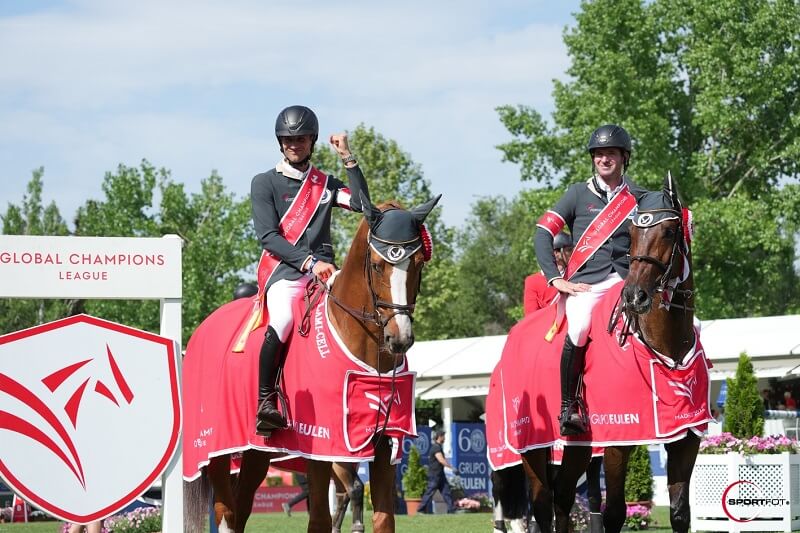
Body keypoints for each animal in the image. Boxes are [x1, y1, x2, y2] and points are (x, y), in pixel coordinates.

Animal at [184, 194, 440, 532]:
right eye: (376, 265)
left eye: (419, 263)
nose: (399, 339)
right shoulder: (319, 446)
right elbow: (319, 518)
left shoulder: (384, 443)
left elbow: (384, 519)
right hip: (217, 449)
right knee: (226, 510)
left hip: (257, 453)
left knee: (241, 507)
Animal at [516, 175, 704, 532]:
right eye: (632, 232)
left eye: (669, 231)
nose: (634, 296)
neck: (663, 342)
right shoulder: (618, 440)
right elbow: (614, 512)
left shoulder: (686, 437)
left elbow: (680, 513)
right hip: (533, 445)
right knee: (542, 502)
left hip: (578, 448)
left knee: (562, 495)